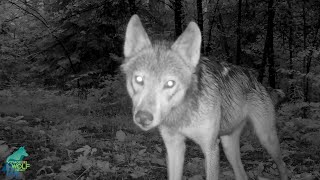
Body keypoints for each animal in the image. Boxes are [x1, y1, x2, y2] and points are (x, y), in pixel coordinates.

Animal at [121, 14, 288, 180]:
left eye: (170, 83)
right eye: (139, 79)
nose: (143, 117)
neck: (182, 114)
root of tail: (258, 82)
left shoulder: (211, 148)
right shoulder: (174, 146)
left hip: (266, 138)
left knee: (283, 165)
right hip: (228, 145)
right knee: (242, 175)